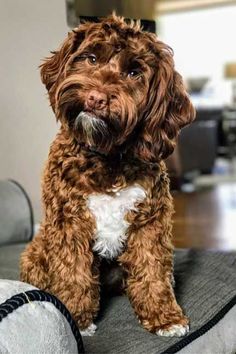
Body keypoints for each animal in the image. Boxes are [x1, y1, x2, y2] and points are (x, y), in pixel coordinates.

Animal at [20, 14, 195, 338]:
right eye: (90, 58)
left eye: (134, 73)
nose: (96, 98)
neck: (106, 156)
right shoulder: (68, 222)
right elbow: (72, 272)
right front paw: (76, 318)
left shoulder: (150, 222)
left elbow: (152, 270)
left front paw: (165, 317)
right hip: (35, 253)